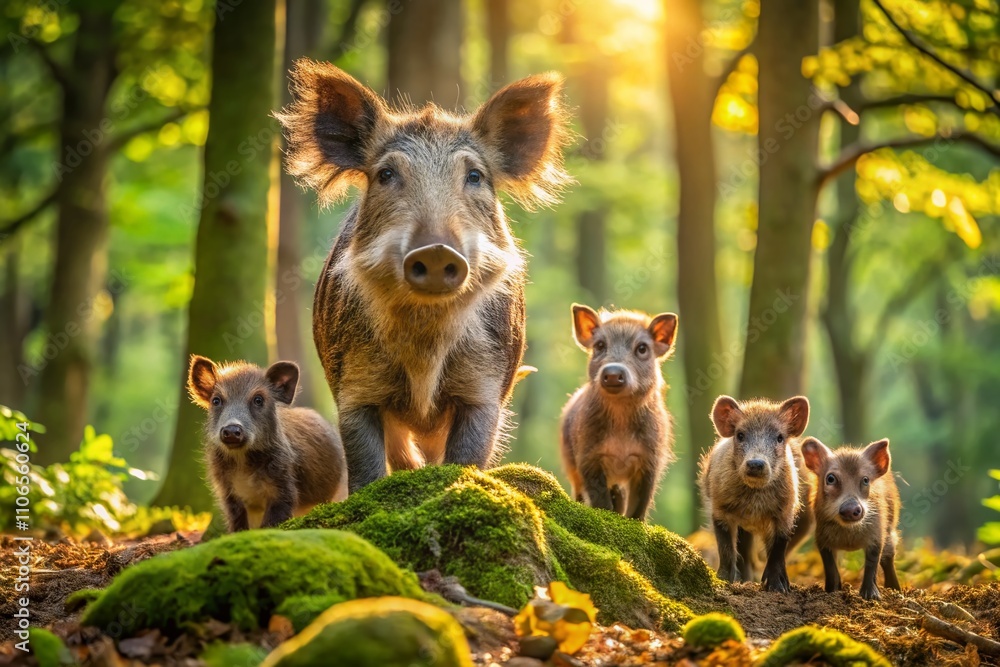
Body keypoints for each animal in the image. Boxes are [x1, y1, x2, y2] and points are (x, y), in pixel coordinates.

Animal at [187, 355, 348, 531]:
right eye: (216, 400)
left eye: (258, 399)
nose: (231, 430)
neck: (243, 464)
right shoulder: (228, 493)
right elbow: (238, 525)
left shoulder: (284, 488)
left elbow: (271, 523)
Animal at [276, 60, 570, 492]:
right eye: (385, 174)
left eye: (475, 176)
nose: (436, 250)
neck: (425, 349)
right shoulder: (354, 387)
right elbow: (367, 468)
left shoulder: (485, 386)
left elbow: (467, 457)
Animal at [559, 304, 678, 521]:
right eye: (599, 345)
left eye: (642, 348)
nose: (613, 373)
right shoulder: (588, 458)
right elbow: (601, 501)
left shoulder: (650, 461)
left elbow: (638, 505)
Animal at [699, 395, 814, 592]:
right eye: (740, 435)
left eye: (779, 437)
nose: (755, 463)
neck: (755, 501)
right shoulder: (719, 508)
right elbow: (726, 548)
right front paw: (723, 582)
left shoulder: (786, 512)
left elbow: (777, 549)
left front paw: (778, 589)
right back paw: (745, 581)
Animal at [801, 437, 901, 600]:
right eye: (830, 478)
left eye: (865, 479)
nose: (850, 508)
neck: (849, 539)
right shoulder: (821, 538)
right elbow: (830, 567)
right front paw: (831, 591)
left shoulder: (876, 535)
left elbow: (872, 563)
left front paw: (871, 596)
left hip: (891, 529)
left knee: (888, 557)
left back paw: (894, 589)